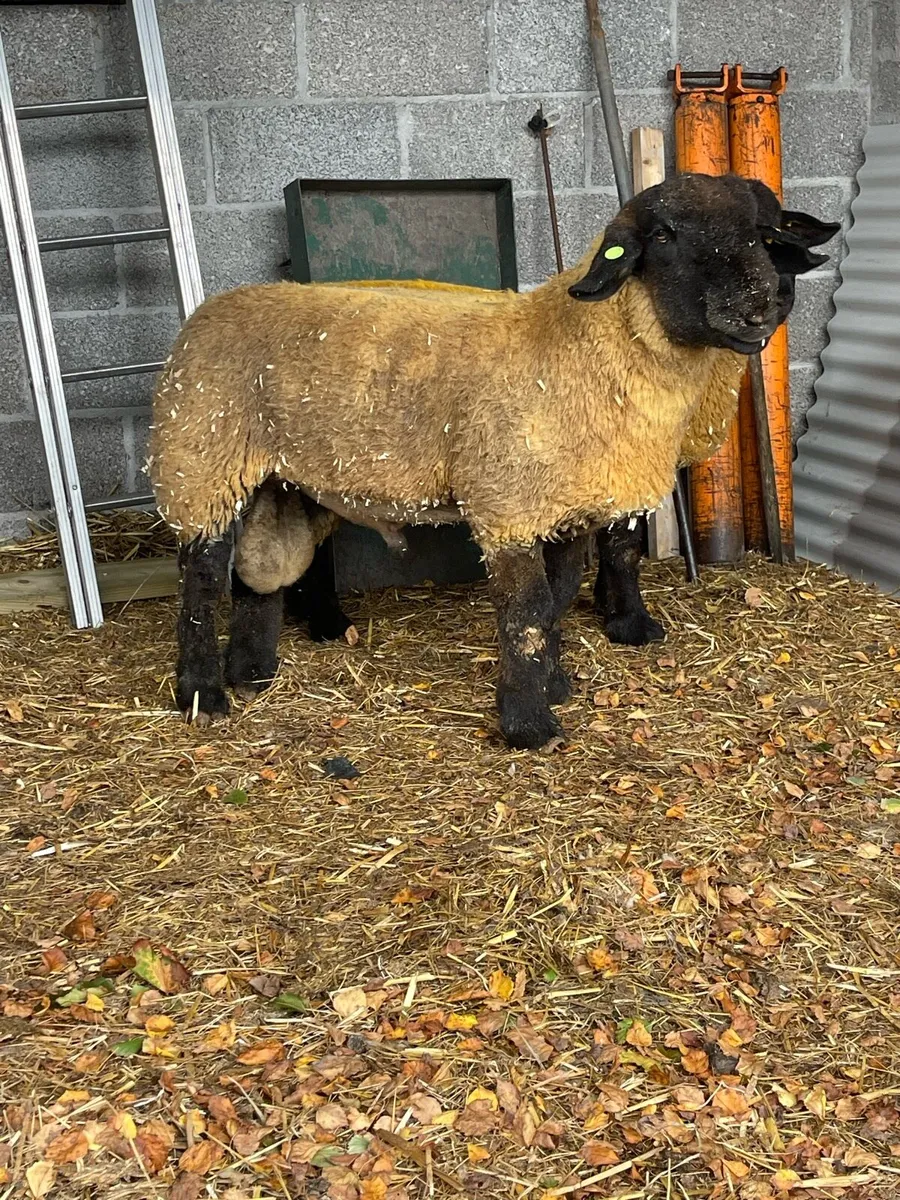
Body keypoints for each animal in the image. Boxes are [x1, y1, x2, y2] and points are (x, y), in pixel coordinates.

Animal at [150, 172, 830, 750]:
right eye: (662, 235)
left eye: (763, 235)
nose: (760, 304)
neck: (572, 346)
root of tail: (202, 316)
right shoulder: (508, 503)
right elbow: (527, 610)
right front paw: (530, 724)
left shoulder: (567, 504)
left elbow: (558, 597)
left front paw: (555, 682)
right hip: (199, 462)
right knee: (202, 580)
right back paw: (203, 695)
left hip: (280, 481)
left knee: (260, 572)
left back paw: (251, 673)